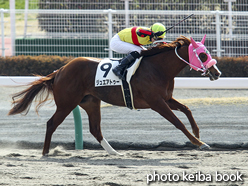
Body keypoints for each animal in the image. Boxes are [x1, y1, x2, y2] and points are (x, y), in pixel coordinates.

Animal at [7, 35, 221, 155]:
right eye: (203, 55)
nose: (217, 72)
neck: (158, 68)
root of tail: (59, 70)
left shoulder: (166, 98)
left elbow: (187, 109)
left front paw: (197, 133)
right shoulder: (156, 102)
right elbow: (177, 122)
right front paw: (199, 143)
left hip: (91, 102)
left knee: (95, 129)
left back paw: (114, 152)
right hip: (67, 103)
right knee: (51, 124)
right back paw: (45, 152)